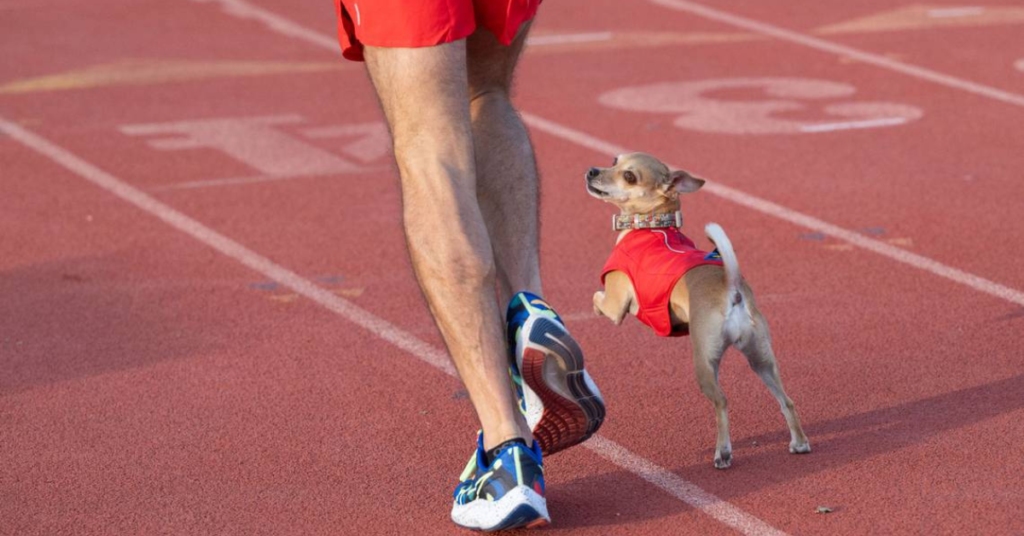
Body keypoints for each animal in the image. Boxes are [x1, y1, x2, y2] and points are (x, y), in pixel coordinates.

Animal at [589, 151, 811, 469]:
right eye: (614, 161)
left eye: (629, 176)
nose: (592, 171)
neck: (653, 224)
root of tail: (731, 288)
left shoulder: (615, 305)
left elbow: (599, 298)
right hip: (762, 359)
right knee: (786, 400)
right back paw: (799, 443)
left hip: (705, 362)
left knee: (722, 402)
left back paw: (723, 453)